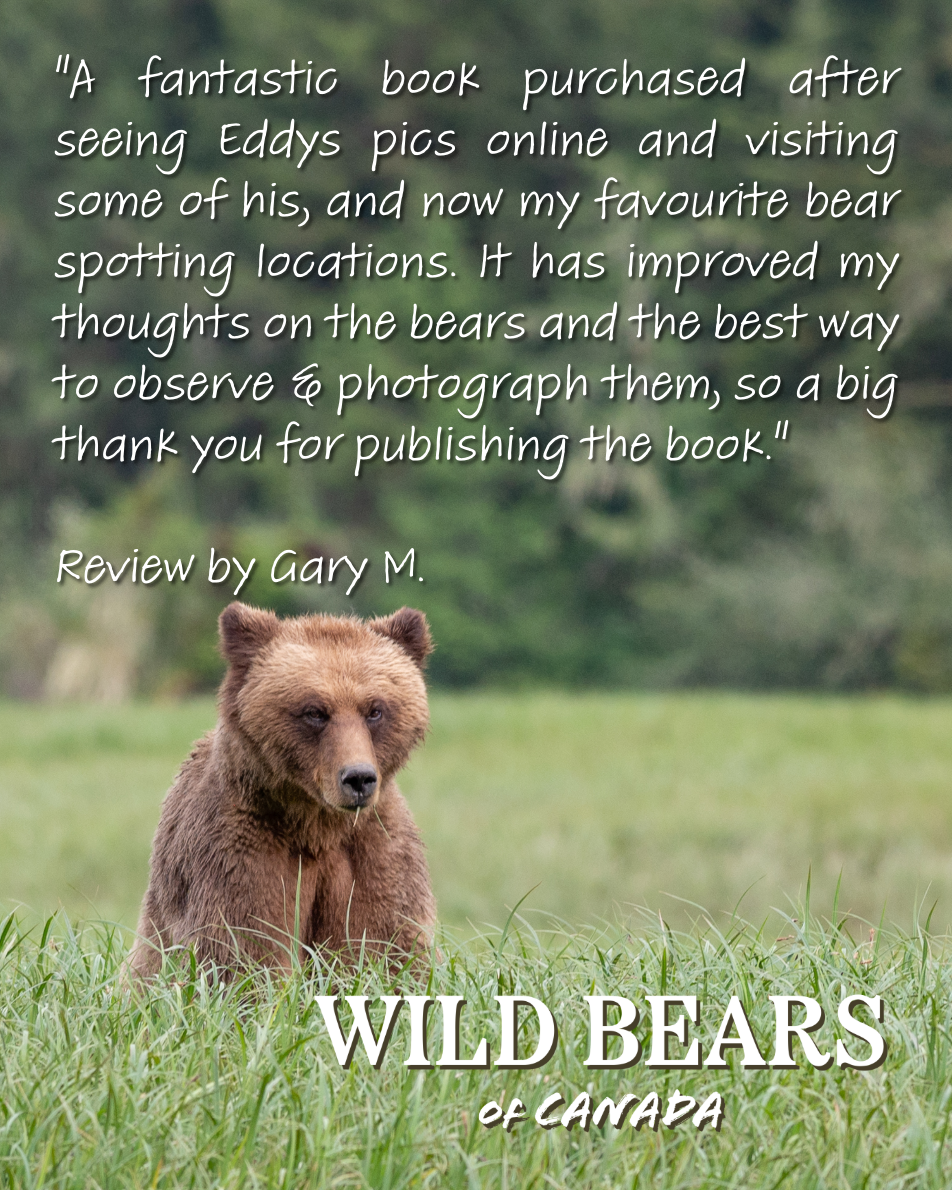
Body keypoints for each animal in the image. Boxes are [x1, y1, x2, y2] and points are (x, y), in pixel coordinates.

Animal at [128, 601, 436, 978]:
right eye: (315, 711)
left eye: (375, 710)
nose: (358, 778)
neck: (316, 825)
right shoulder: (239, 853)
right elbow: (245, 949)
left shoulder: (374, 853)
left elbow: (387, 944)